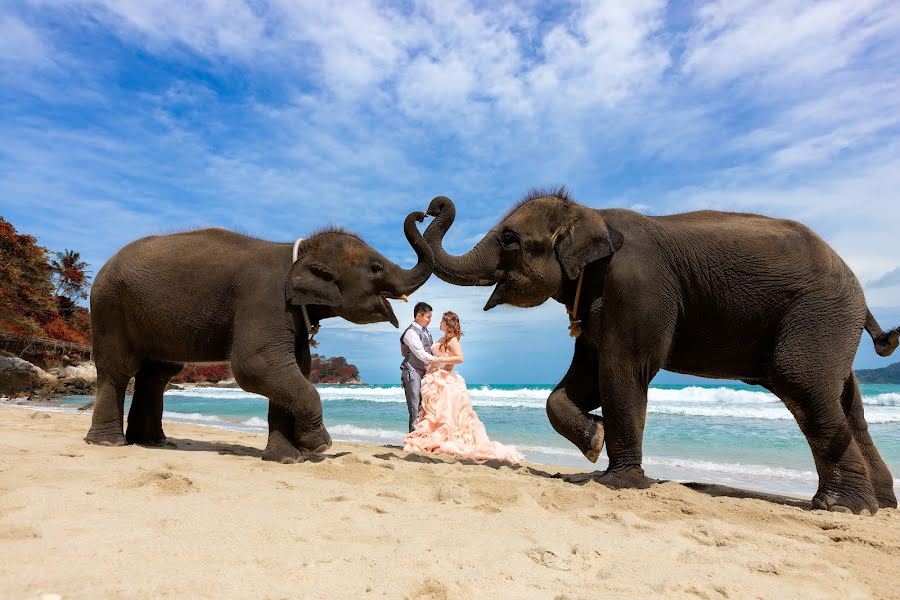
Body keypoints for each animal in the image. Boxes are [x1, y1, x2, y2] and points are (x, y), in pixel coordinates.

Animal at [85, 213, 432, 462]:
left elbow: (294, 369)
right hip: (108, 308)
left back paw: (152, 441)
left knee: (157, 374)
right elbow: (256, 365)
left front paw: (287, 459)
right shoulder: (264, 299)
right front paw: (318, 446)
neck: (297, 252)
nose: (424, 212)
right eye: (375, 267)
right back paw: (109, 442)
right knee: (118, 368)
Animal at [414, 190, 900, 512]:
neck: (593, 214)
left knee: (801, 380)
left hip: (819, 313)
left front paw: (615, 479)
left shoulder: (637, 287)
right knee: (845, 400)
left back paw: (842, 507)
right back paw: (876, 506)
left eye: (510, 239)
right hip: (829, 322)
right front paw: (594, 441)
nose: (429, 207)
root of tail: (859, 292)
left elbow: (622, 371)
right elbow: (581, 380)